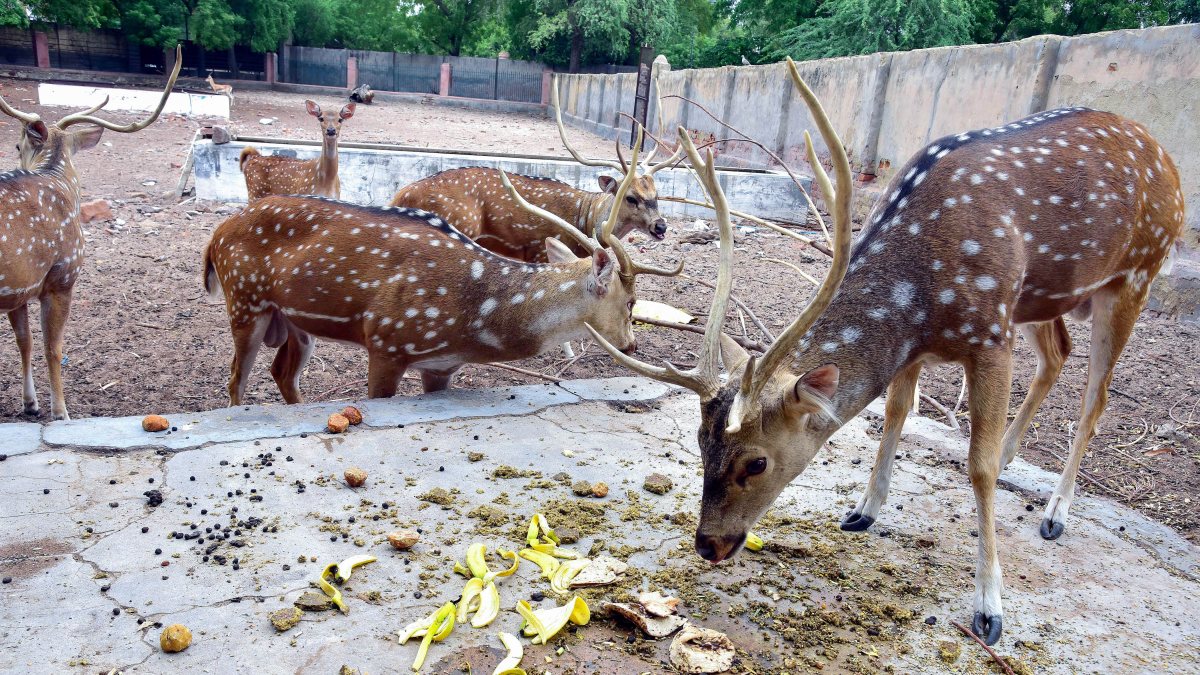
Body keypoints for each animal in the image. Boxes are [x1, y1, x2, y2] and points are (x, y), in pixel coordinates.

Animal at [0, 48, 181, 421]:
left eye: (16, 145)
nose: (18, 148)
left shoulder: (28, 284)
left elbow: (29, 342)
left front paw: (34, 404)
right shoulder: (61, 274)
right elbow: (50, 346)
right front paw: (60, 412)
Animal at [203, 128, 681, 404]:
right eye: (631, 302)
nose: (632, 346)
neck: (476, 322)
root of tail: (215, 236)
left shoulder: (441, 365)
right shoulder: (386, 341)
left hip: (293, 321)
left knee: (281, 373)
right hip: (244, 300)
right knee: (235, 381)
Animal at [388, 81, 681, 263]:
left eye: (657, 194)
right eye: (630, 197)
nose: (661, 226)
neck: (584, 221)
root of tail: (400, 195)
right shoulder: (541, 249)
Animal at [586, 58, 1184, 646]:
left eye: (756, 462)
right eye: (699, 440)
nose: (707, 543)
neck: (920, 296)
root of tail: (1166, 157)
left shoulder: (991, 331)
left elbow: (978, 466)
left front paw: (990, 608)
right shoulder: (919, 346)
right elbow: (894, 413)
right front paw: (863, 510)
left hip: (1137, 273)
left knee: (1097, 395)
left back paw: (1057, 510)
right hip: (1045, 297)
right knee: (1059, 353)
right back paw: (1016, 449)